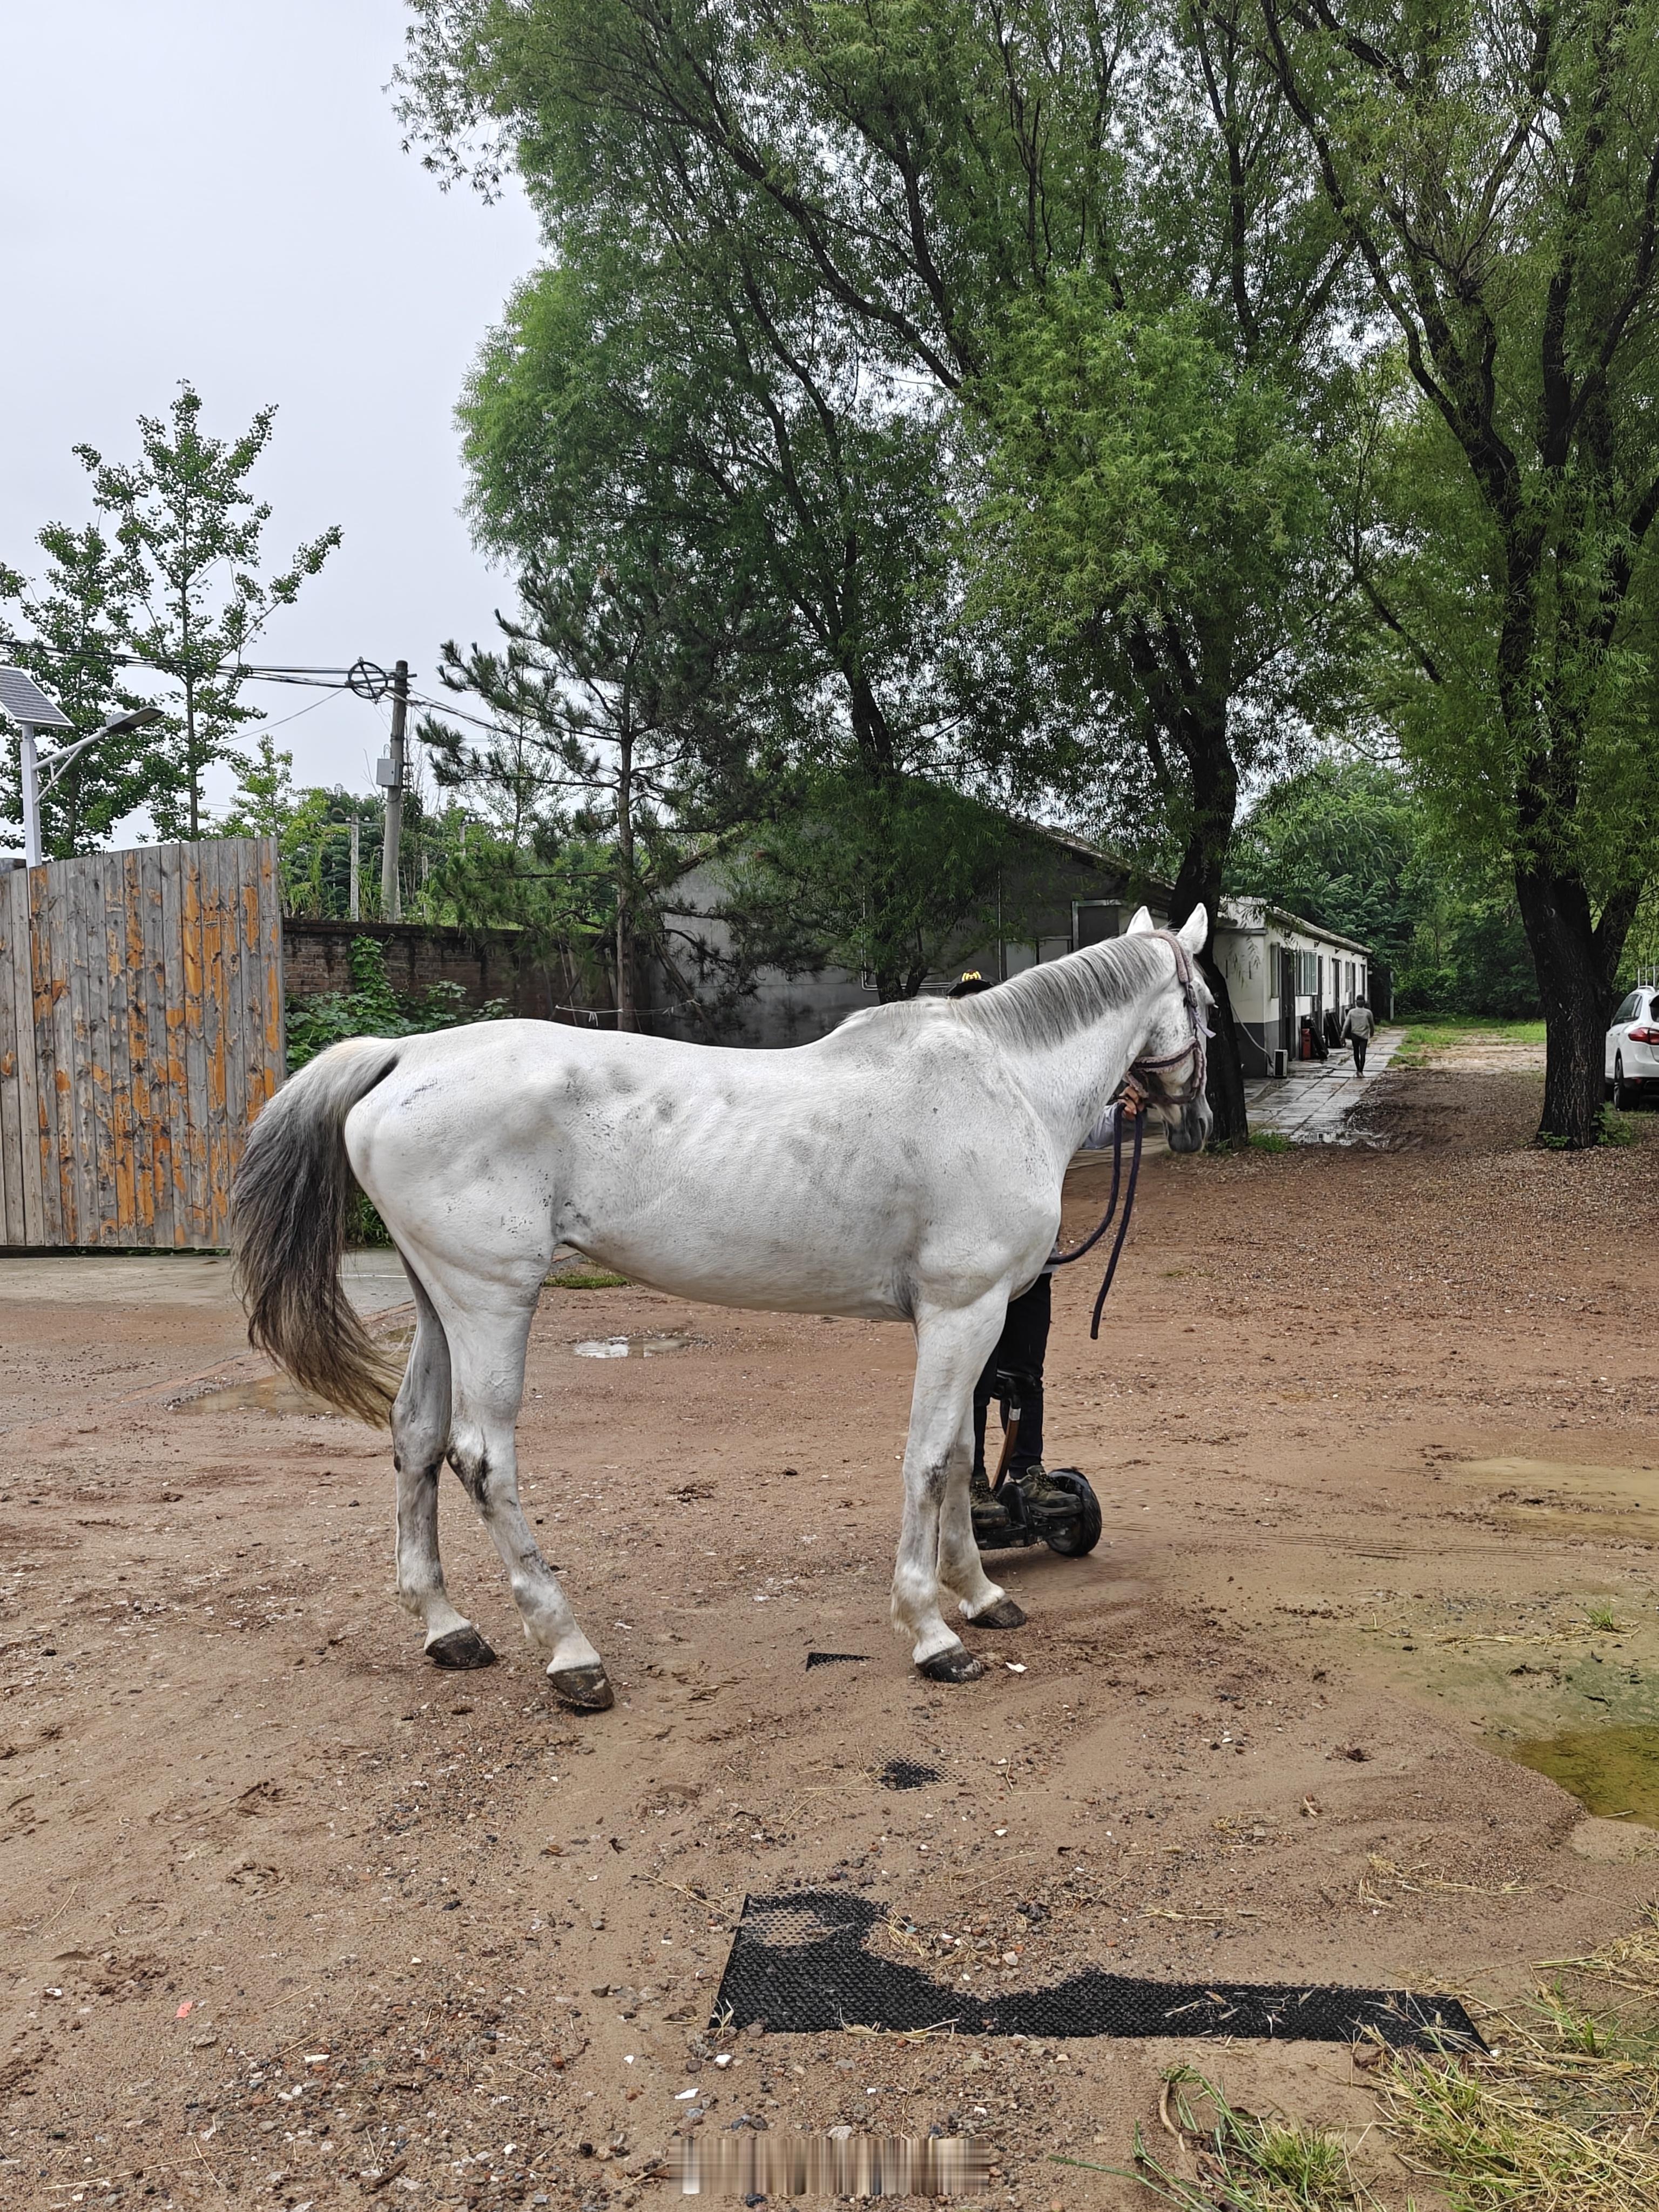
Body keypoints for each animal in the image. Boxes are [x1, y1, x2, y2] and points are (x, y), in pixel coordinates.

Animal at [231, 906, 1213, 1707]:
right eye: (1205, 997)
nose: (1196, 1120)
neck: (1000, 1081)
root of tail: (406, 1055)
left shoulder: (970, 1323)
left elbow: (962, 1454)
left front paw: (979, 1595)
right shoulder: (961, 1312)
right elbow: (933, 1459)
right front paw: (933, 1633)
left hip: (441, 1304)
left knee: (416, 1438)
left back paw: (448, 1628)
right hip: (492, 1302)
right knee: (480, 1459)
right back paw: (571, 1656)